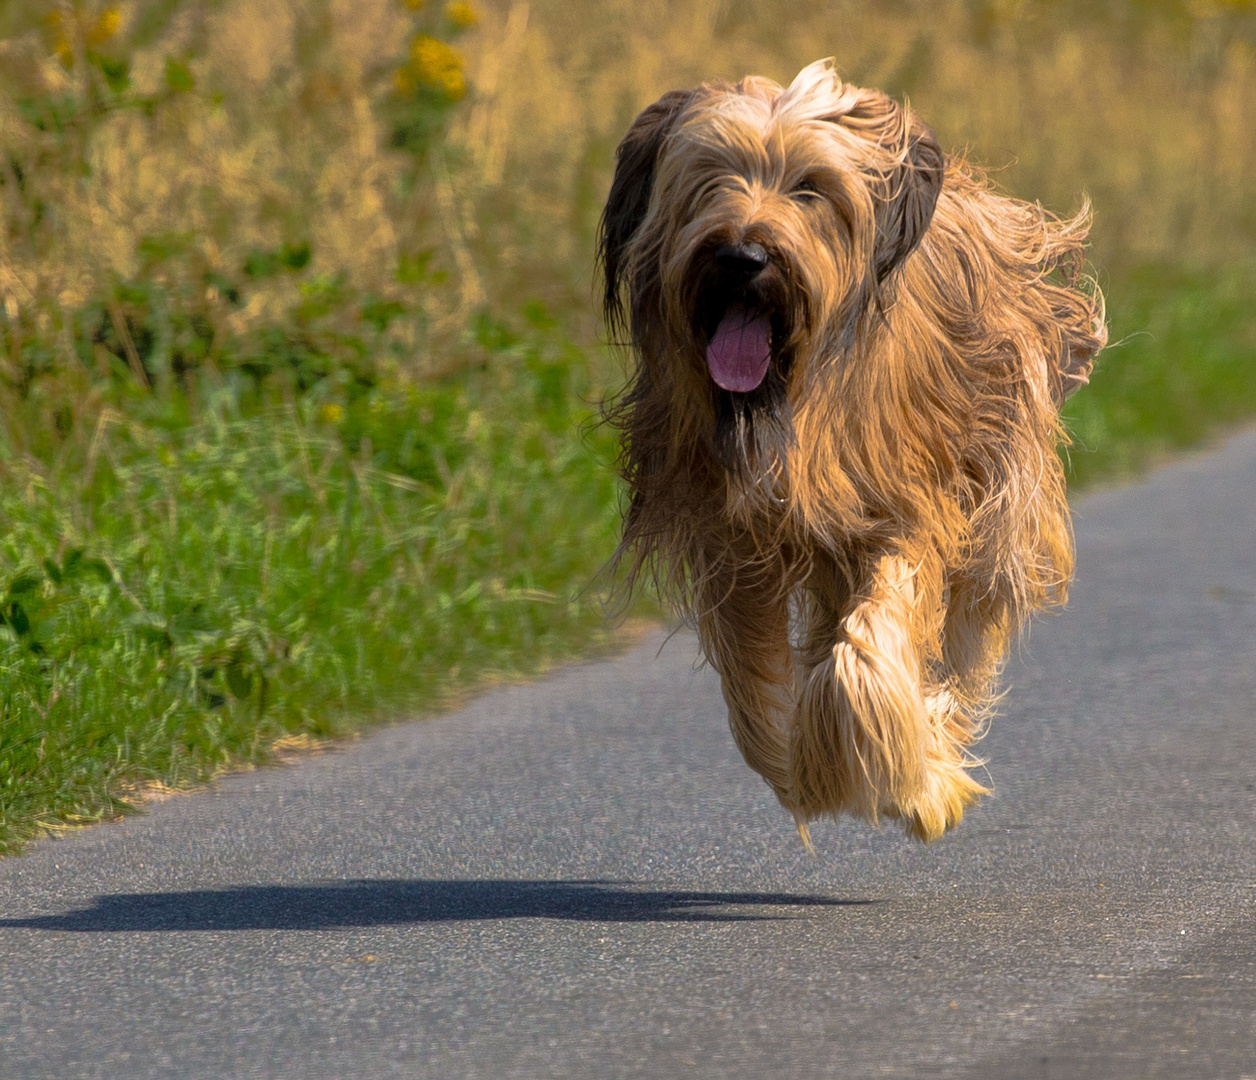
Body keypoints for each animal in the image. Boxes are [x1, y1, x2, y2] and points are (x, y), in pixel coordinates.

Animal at [602, 59, 1105, 848]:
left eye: (810, 187)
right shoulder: (734, 545)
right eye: (710, 176)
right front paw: (804, 767)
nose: (743, 257)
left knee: (965, 636)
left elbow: (864, 656)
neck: (787, 404)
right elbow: (755, 698)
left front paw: (917, 786)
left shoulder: (908, 509)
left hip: (996, 491)